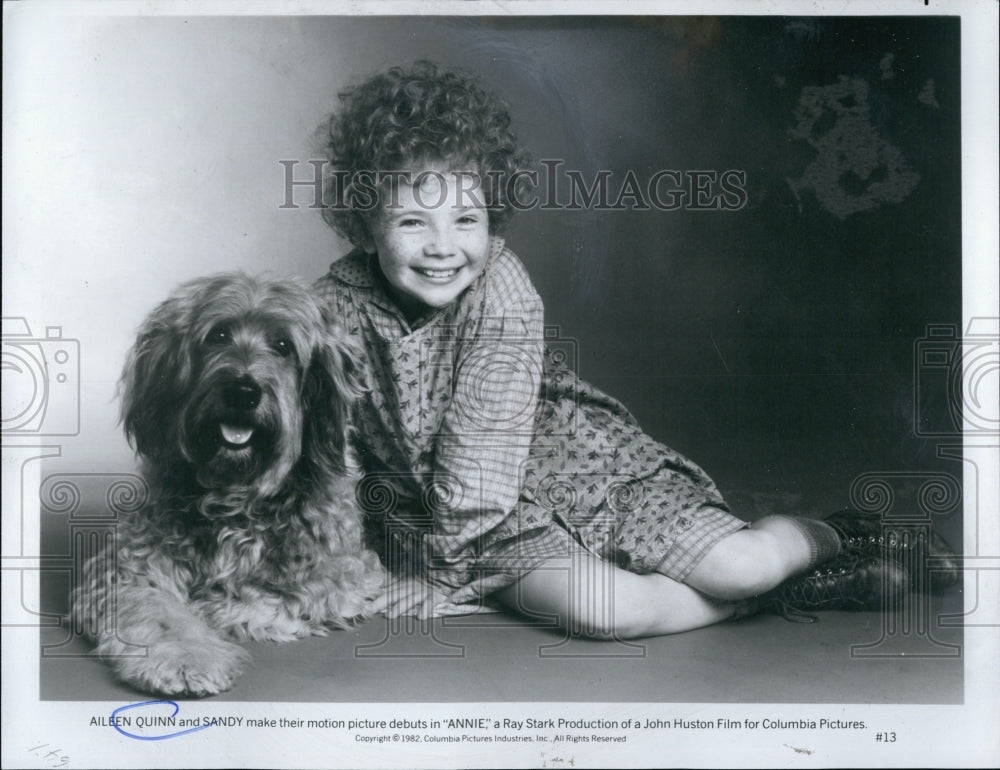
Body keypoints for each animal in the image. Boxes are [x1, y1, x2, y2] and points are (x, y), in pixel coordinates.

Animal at [72, 274, 384, 696]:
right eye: (218, 334)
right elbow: (158, 611)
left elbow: (269, 596)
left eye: (283, 346)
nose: (243, 392)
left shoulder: (341, 575)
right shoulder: (127, 567)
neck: (235, 491)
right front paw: (187, 660)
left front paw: (210, 608)